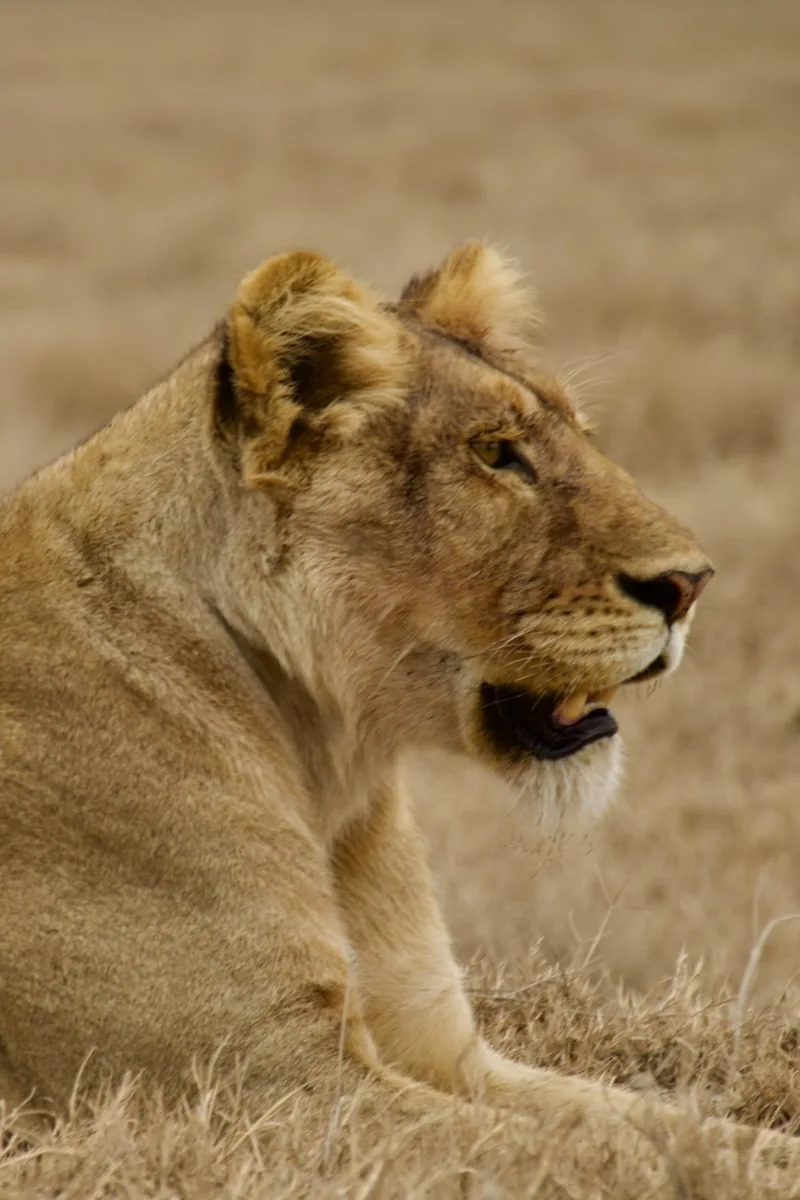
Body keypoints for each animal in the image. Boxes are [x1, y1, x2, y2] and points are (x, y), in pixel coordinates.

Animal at [0, 243, 789, 1168]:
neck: (326, 762)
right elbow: (605, 1155)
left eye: (581, 437)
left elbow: (674, 1129)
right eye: (496, 454)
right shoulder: (252, 1091)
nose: (691, 585)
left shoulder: (443, 1045)